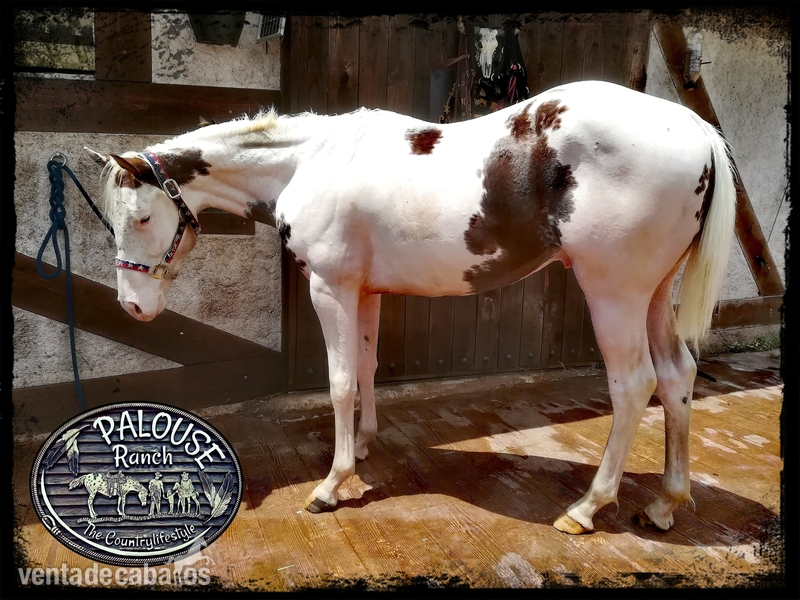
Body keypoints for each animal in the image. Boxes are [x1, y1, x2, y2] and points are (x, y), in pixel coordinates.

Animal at [87, 80, 736, 535]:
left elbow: (340, 381)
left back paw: (586, 508)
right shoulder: (365, 292)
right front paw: (363, 447)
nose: (133, 306)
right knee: (677, 376)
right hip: (654, 295)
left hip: (614, 296)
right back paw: (664, 504)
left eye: (140, 217)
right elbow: (366, 370)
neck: (309, 161)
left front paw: (332, 485)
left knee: (634, 386)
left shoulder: (331, 289)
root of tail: (695, 128)